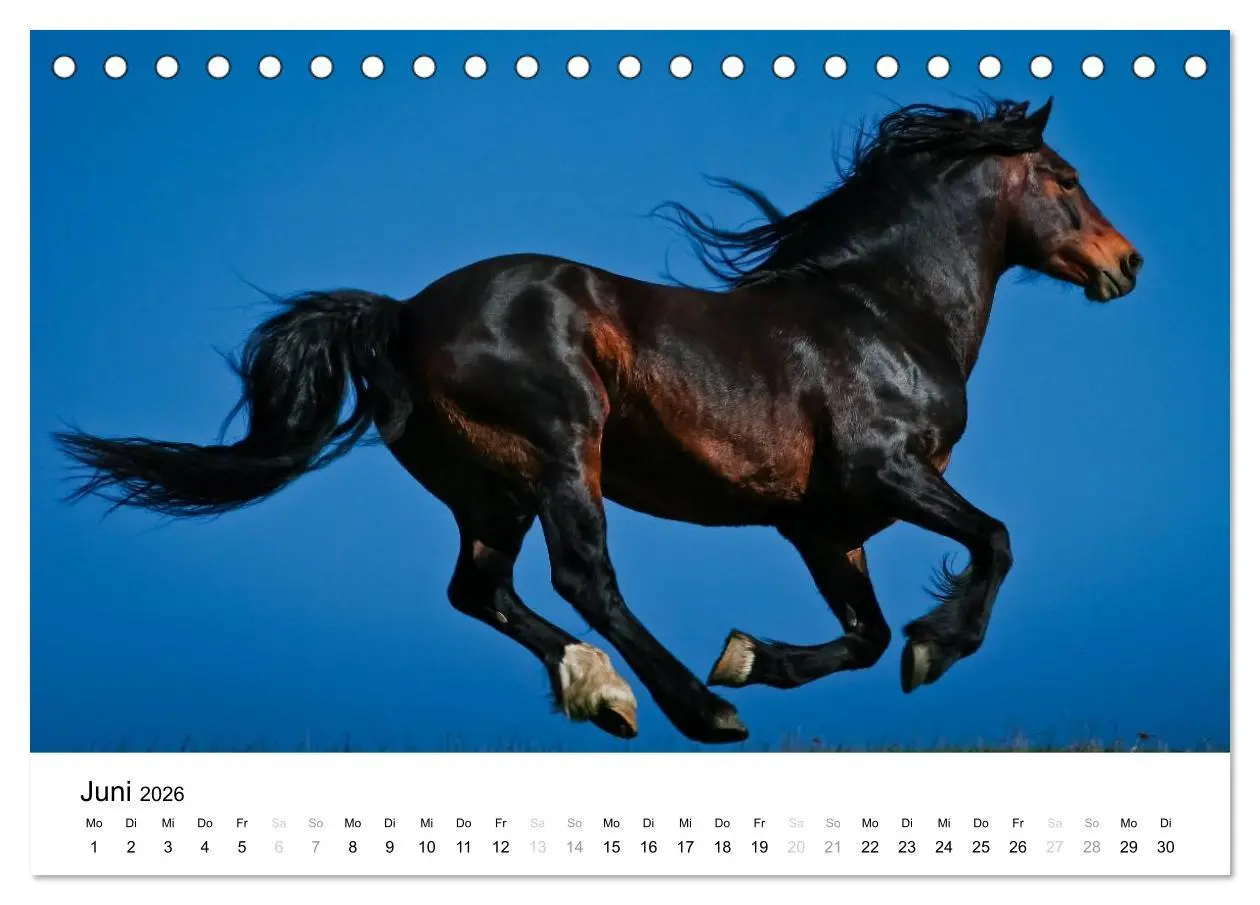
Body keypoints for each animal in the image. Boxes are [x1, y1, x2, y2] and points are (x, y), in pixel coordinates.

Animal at [54, 98, 1142, 745]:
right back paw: (694, 706)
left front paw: (757, 652)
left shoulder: (824, 524)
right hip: (561, 448)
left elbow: (867, 635)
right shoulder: (887, 472)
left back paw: (605, 689)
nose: (1124, 263)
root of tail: (402, 314)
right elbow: (994, 542)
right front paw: (932, 647)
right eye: (1066, 178)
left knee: (480, 590)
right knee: (583, 576)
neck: (882, 308)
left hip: (488, 488)